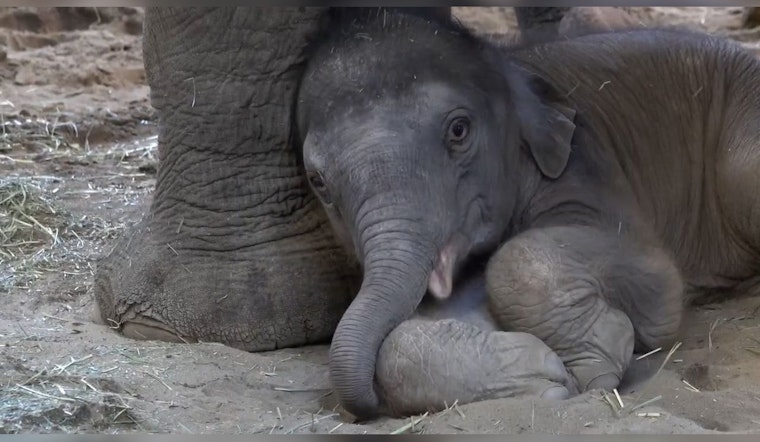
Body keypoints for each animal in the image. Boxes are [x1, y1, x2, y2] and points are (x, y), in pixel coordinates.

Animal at [294, 9, 760, 420]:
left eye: (458, 130)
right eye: (318, 181)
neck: (506, 65)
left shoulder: (584, 166)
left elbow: (657, 287)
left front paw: (593, 364)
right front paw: (548, 377)